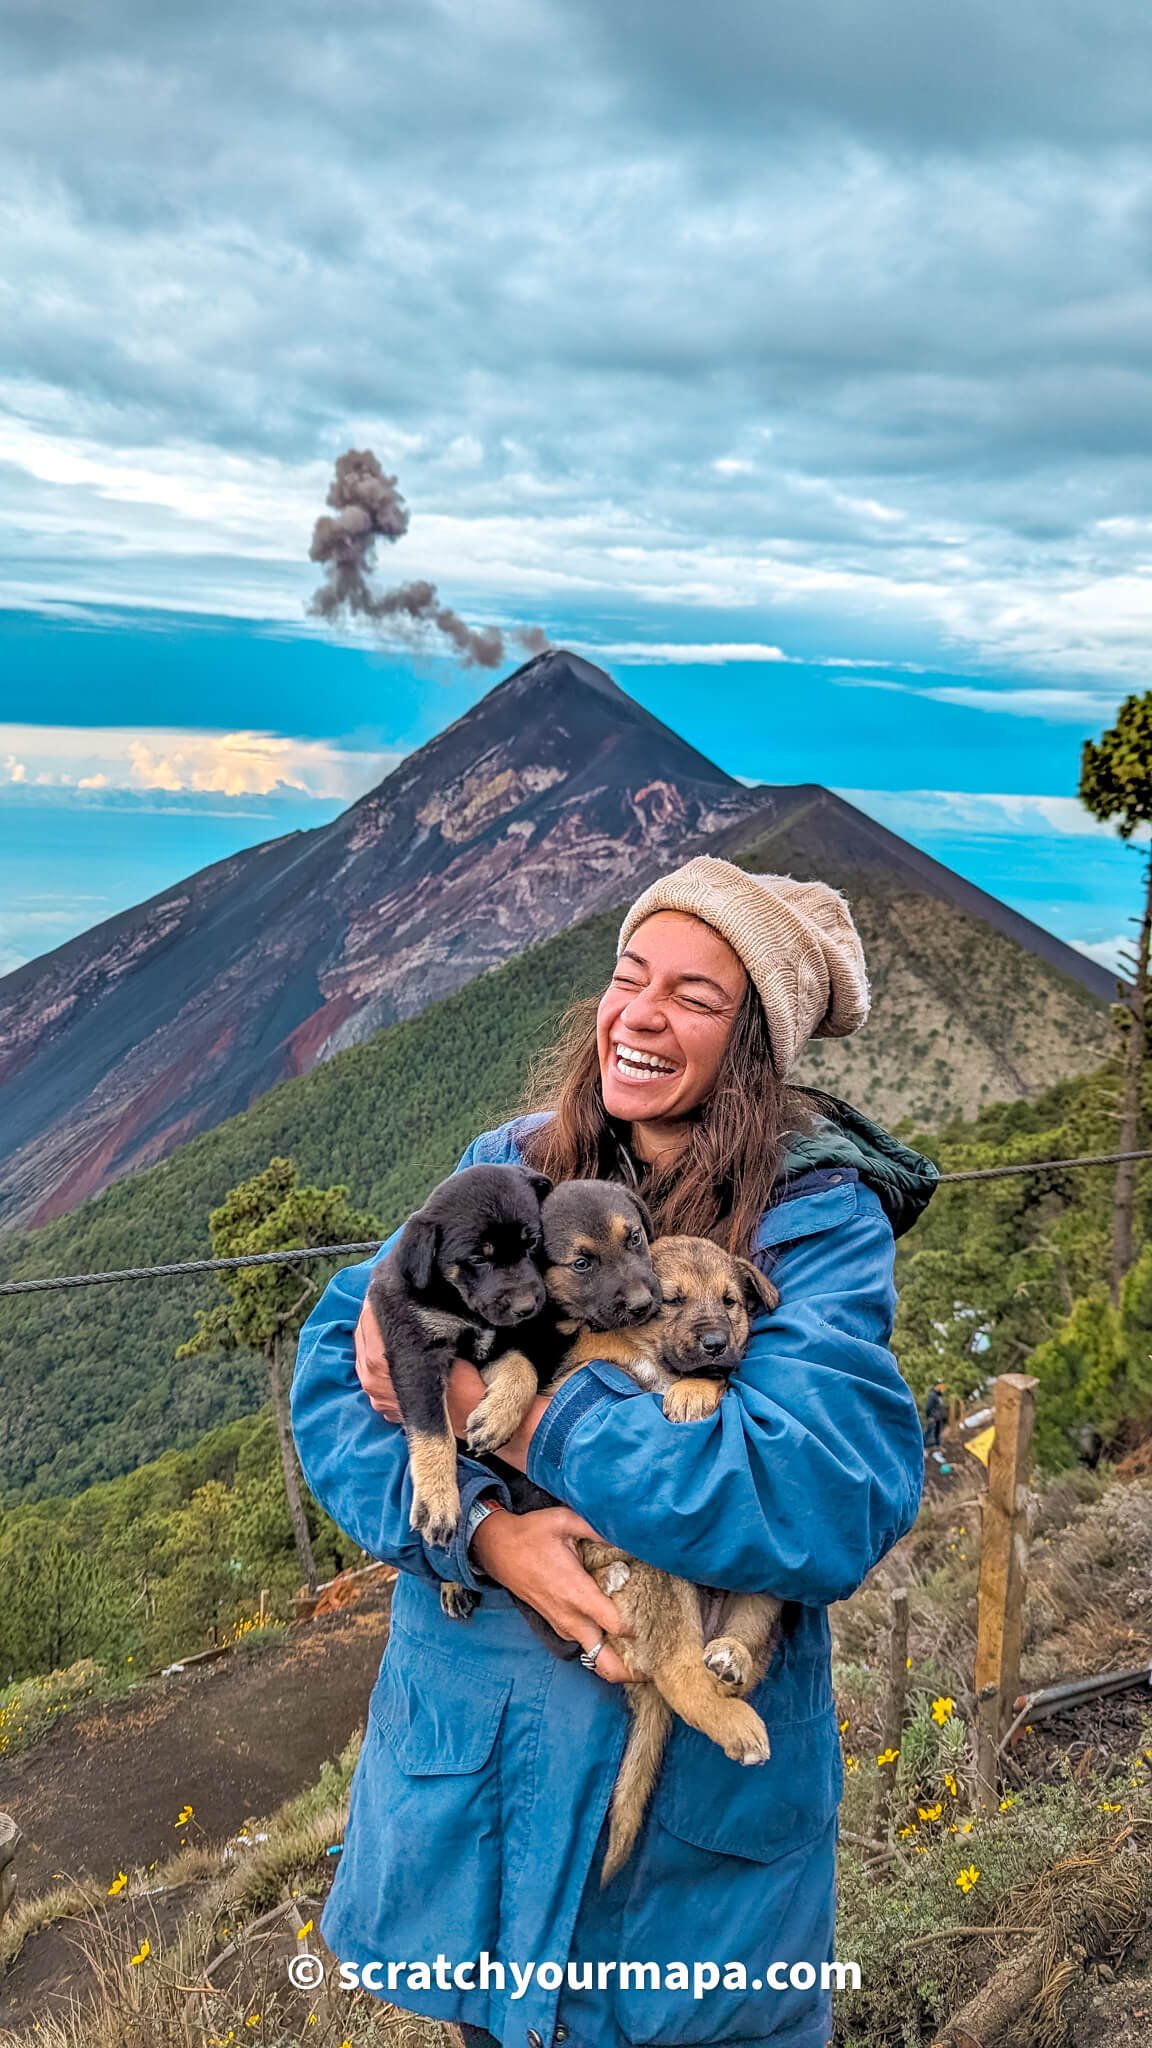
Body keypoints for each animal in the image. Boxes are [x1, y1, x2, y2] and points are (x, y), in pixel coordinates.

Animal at [364, 1163, 549, 1540]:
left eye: (532, 1242)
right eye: (478, 1258)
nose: (527, 1308)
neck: (460, 1303)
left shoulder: (496, 1343)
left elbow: (522, 1370)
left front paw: (495, 1418)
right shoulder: (416, 1352)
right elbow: (432, 1428)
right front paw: (437, 1500)